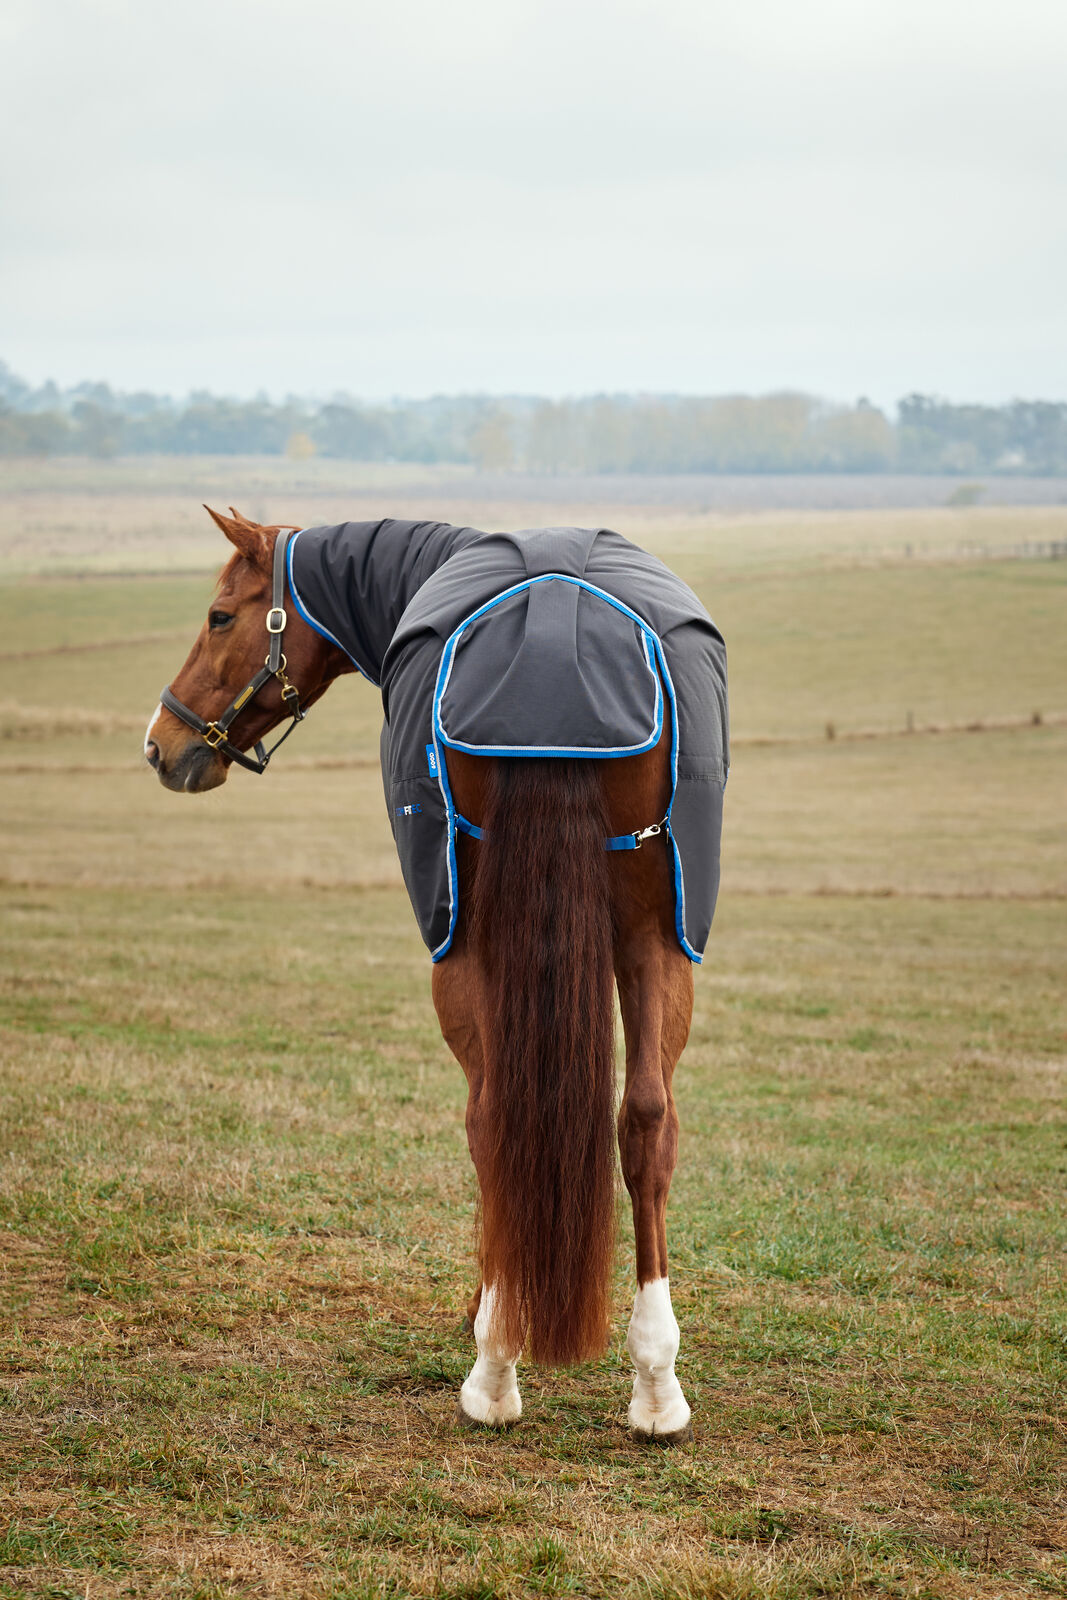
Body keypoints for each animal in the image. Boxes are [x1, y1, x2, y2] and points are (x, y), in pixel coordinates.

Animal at [145, 506, 728, 1444]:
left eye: (220, 616)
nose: (160, 745)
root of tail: (556, 624)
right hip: (659, 932)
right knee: (644, 1122)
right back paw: (655, 1383)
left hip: (464, 938)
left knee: (491, 1119)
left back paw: (494, 1367)